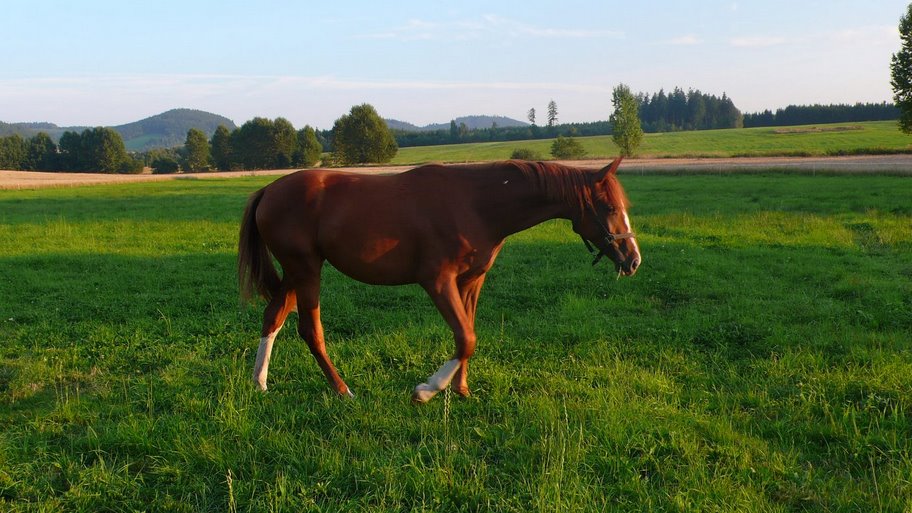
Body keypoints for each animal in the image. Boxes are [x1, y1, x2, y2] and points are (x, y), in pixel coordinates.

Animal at [239, 156, 644, 400]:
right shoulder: (437, 282)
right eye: (609, 207)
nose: (634, 260)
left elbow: (468, 332)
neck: (476, 204)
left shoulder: (470, 282)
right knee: (310, 330)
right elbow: (466, 338)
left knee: (273, 317)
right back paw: (342, 390)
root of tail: (268, 190)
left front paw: (460, 389)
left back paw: (259, 382)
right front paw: (428, 389)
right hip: (307, 270)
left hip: (296, 272)